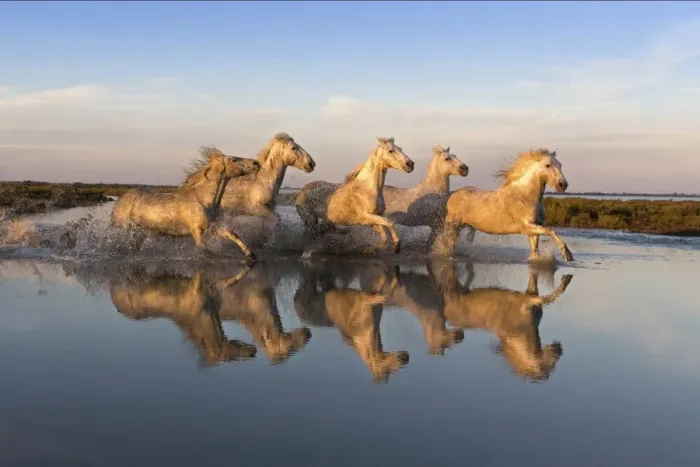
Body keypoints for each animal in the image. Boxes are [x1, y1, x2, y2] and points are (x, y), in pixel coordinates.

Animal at [110, 149, 259, 263]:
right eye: (233, 160)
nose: (256, 163)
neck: (203, 200)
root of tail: (121, 199)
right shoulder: (197, 231)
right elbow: (205, 251)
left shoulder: (214, 227)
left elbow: (233, 235)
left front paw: (251, 255)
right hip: (128, 229)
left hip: (140, 232)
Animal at [437, 148, 573, 262]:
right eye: (547, 165)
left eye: (560, 165)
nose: (563, 185)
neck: (525, 196)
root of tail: (453, 195)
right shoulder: (526, 227)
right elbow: (550, 230)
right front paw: (567, 255)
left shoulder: (533, 231)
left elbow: (535, 250)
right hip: (452, 226)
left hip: (461, 226)